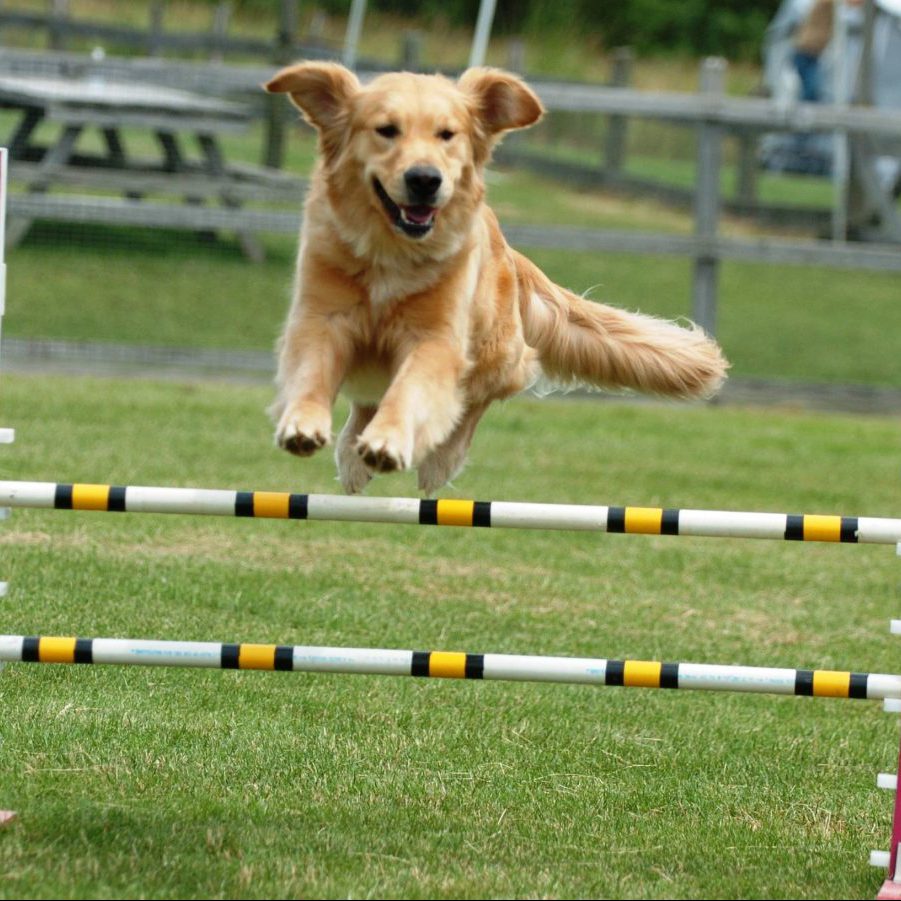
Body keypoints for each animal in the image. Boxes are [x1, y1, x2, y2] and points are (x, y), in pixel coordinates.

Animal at [264, 63, 728, 496]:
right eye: (386, 130)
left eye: (447, 135)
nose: (424, 179)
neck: (390, 253)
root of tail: (511, 253)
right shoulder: (321, 317)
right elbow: (311, 373)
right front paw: (303, 424)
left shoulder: (436, 339)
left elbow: (411, 391)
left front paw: (389, 441)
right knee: (370, 402)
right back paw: (352, 457)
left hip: (495, 351)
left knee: (479, 396)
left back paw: (437, 461)